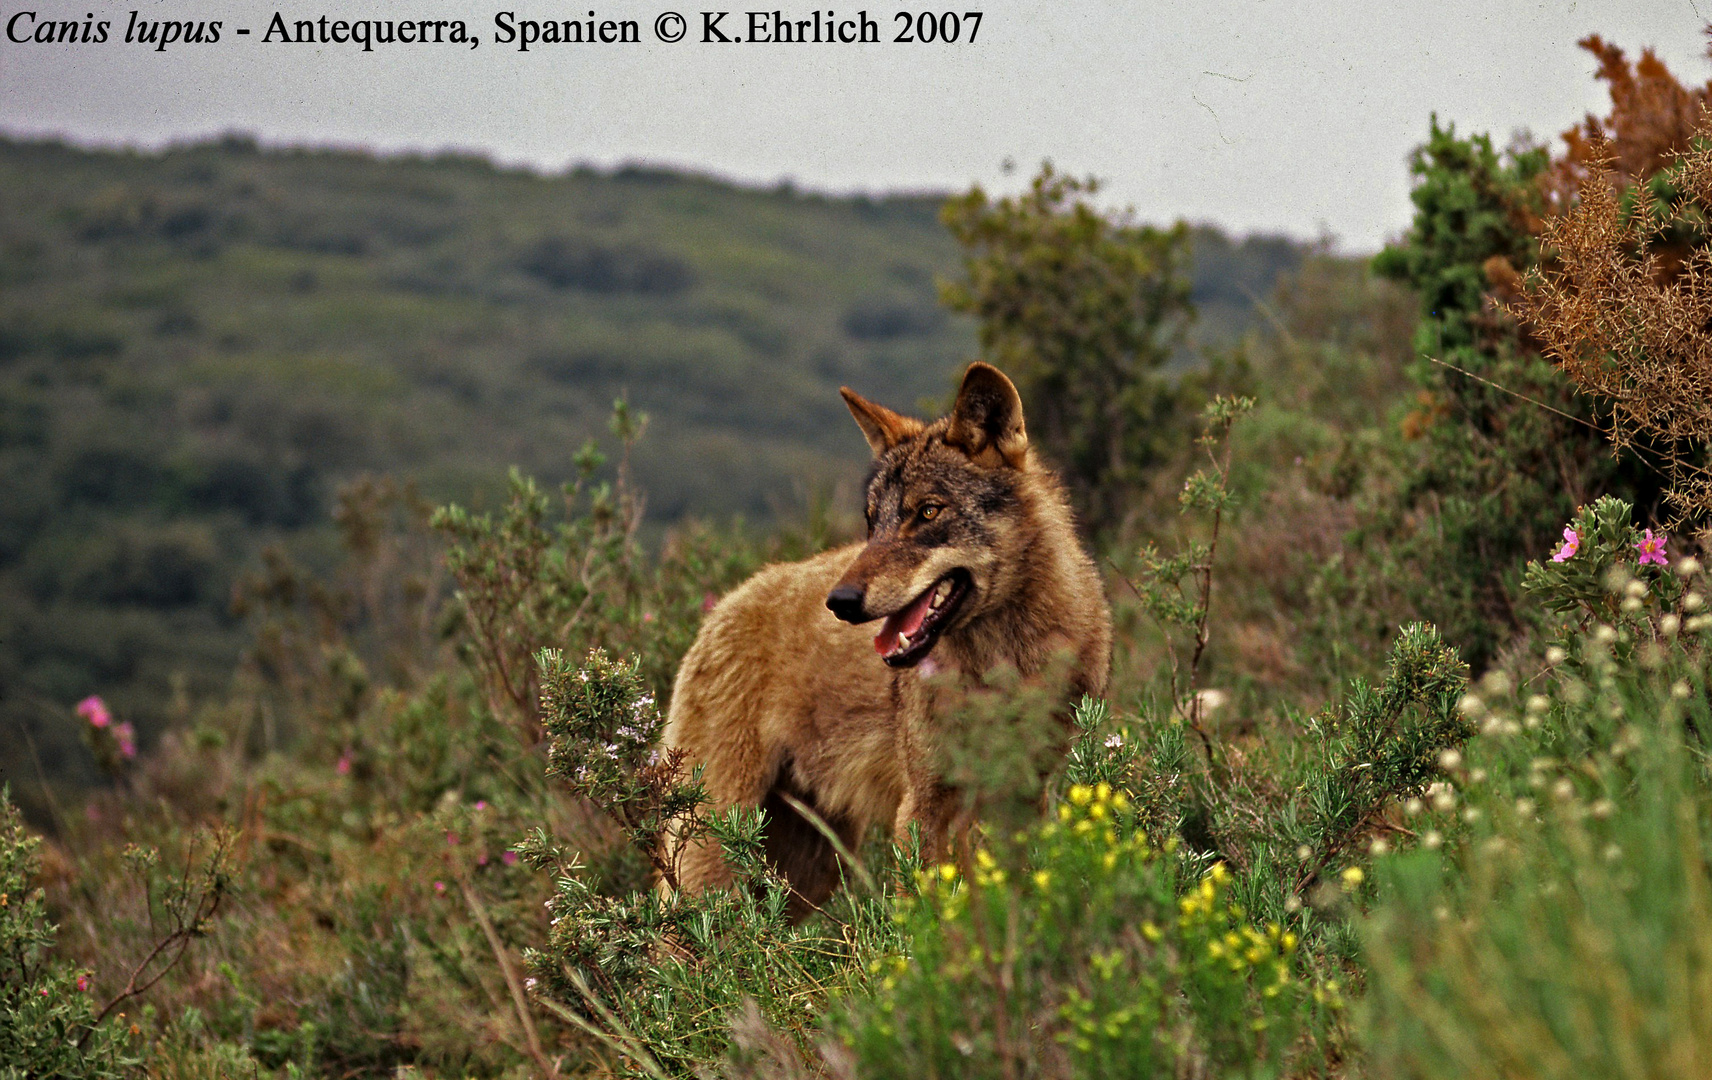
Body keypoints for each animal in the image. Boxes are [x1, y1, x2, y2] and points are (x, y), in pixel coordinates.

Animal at [653, 366, 1109, 924]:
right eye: (873, 521)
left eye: (928, 512)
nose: (841, 601)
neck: (1001, 668)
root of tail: (721, 608)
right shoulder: (924, 804)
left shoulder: (1022, 799)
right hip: (720, 846)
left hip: (807, 872)